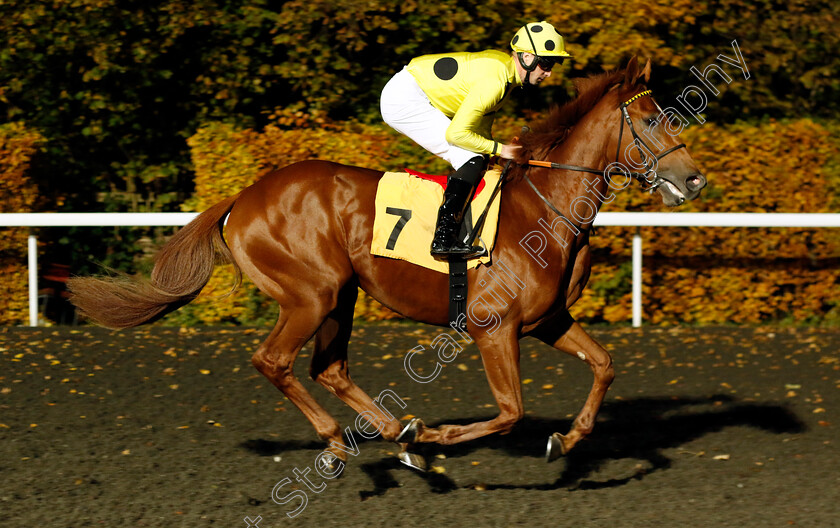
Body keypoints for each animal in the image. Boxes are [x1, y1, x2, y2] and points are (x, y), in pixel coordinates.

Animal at [69, 56, 704, 470]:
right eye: (654, 120)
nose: (694, 178)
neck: (546, 209)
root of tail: (242, 198)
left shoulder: (547, 321)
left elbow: (604, 366)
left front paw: (566, 442)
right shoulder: (492, 327)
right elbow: (511, 410)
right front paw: (441, 436)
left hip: (342, 295)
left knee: (328, 367)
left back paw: (393, 430)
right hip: (313, 294)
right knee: (274, 361)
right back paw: (355, 437)